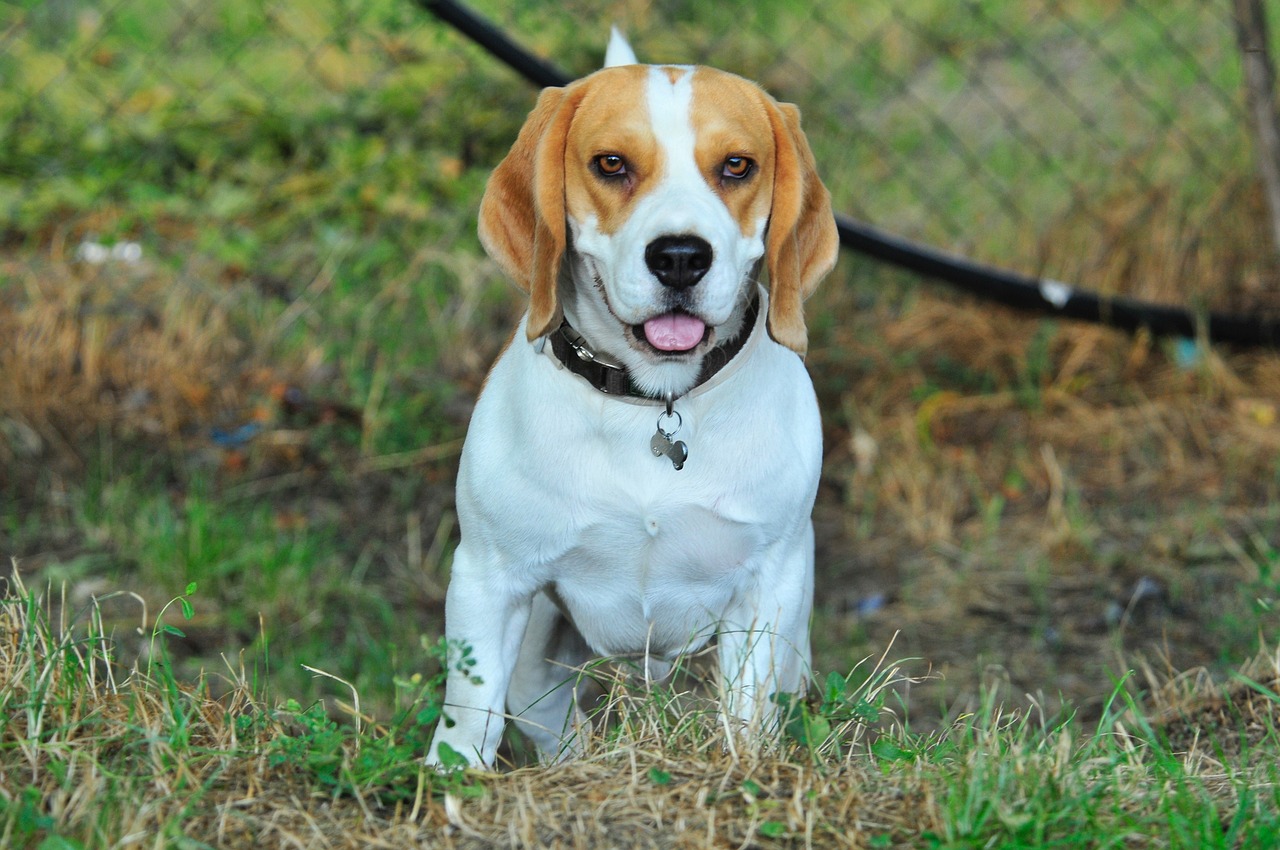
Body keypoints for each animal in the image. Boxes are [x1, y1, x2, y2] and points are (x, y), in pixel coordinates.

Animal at [430, 29, 839, 768]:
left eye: (737, 166)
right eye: (612, 163)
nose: (679, 256)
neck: (653, 404)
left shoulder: (766, 590)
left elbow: (746, 724)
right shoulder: (487, 581)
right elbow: (468, 724)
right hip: (534, 660)